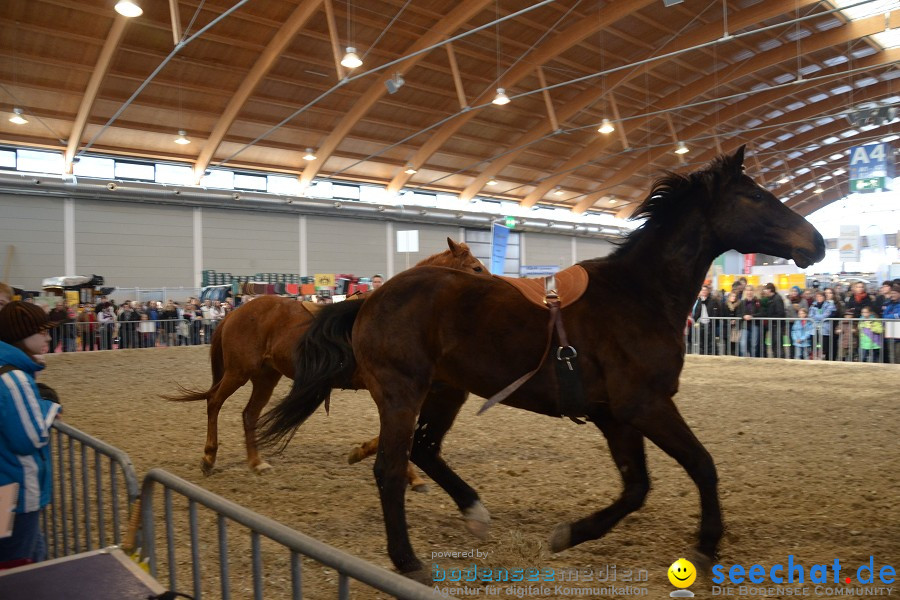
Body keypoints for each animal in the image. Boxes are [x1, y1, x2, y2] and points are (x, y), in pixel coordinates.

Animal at [167, 239, 486, 482]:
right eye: (476, 268)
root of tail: (235, 312)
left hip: (266, 377)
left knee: (249, 414)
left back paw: (256, 462)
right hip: (238, 372)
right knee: (214, 402)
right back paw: (209, 457)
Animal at [258, 146, 824, 580]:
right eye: (756, 196)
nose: (815, 242)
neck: (638, 295)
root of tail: (370, 299)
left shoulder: (617, 417)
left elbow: (636, 487)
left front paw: (570, 534)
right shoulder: (646, 406)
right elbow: (702, 466)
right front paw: (706, 547)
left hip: (446, 391)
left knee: (426, 450)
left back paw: (475, 513)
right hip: (403, 393)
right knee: (391, 468)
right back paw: (408, 560)